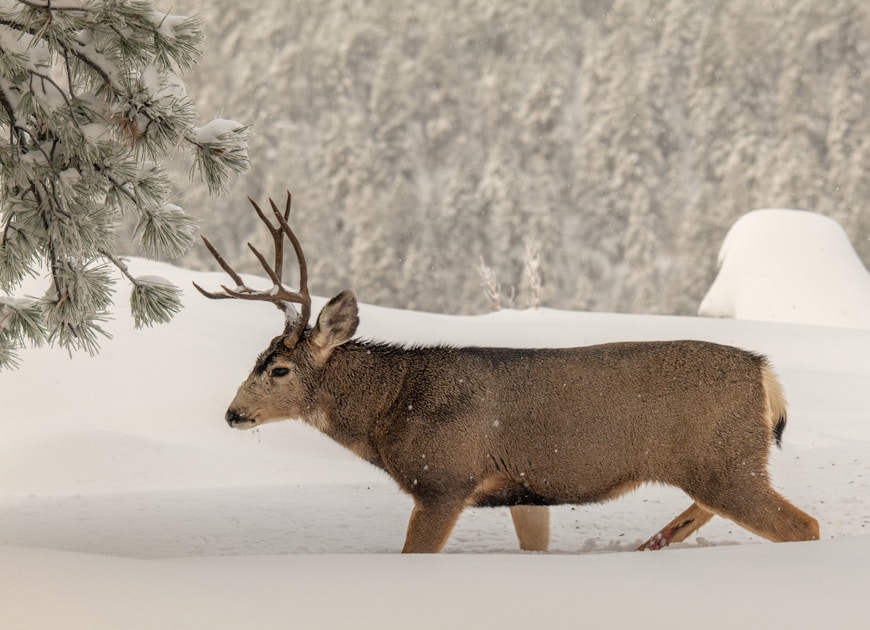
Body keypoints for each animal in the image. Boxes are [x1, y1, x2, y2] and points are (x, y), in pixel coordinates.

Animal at [195, 192, 819, 553]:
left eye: (277, 368)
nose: (232, 413)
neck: (391, 410)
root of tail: (765, 374)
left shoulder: (444, 478)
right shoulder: (524, 491)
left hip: (722, 460)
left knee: (802, 526)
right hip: (722, 463)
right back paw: (653, 543)